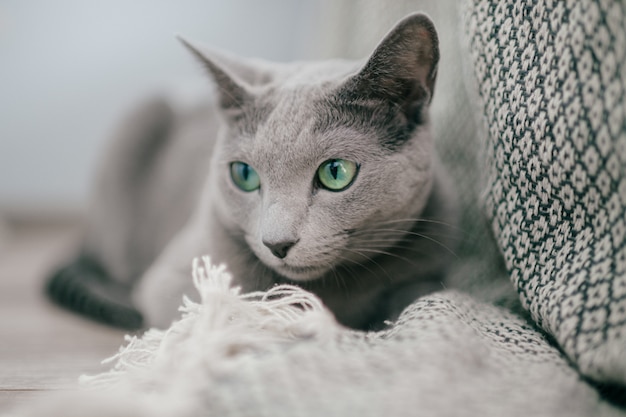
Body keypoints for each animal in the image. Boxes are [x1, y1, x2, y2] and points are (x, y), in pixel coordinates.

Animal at [45, 13, 454, 330]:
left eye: (336, 173)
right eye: (244, 175)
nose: (277, 243)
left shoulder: (430, 270)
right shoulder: (173, 281)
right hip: (138, 120)